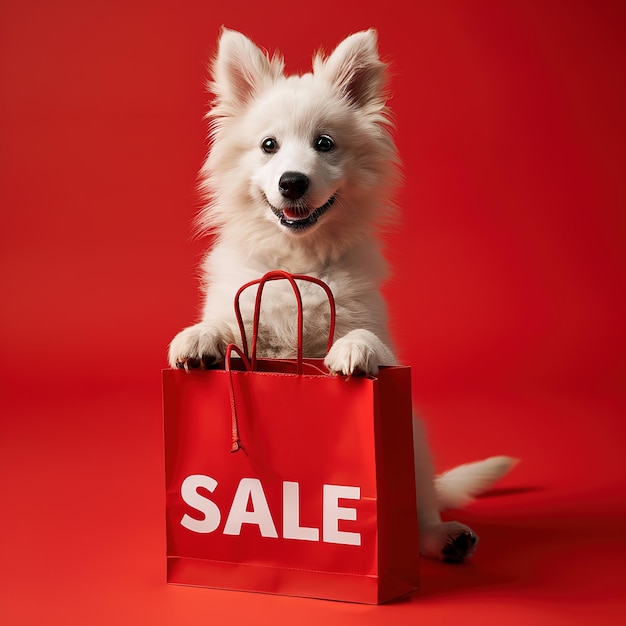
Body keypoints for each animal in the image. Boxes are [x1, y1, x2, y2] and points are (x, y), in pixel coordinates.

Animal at [168, 28, 516, 560]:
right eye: (268, 145)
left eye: (325, 144)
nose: (293, 182)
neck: (298, 262)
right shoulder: (243, 311)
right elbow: (223, 325)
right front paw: (198, 338)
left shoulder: (380, 336)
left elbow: (365, 338)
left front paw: (351, 351)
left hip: (413, 441)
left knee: (419, 514)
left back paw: (444, 537)